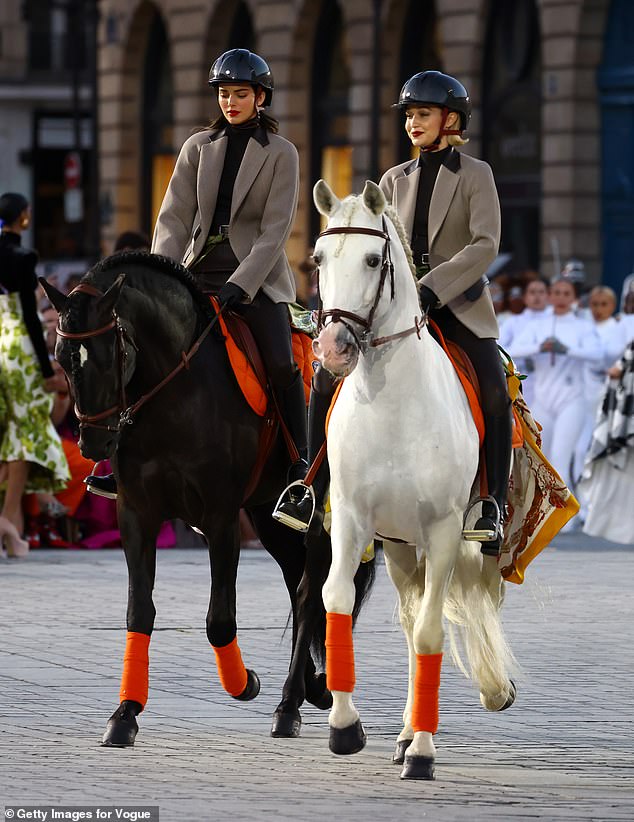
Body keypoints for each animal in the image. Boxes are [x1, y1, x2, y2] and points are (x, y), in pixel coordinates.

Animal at [42, 251, 372, 748]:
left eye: (109, 354)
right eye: (62, 358)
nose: (93, 443)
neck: (175, 394)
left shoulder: (220, 517)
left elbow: (219, 620)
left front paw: (244, 682)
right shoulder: (136, 513)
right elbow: (139, 610)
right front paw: (125, 713)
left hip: (322, 513)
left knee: (314, 587)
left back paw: (297, 698)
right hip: (268, 516)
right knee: (299, 586)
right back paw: (308, 690)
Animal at [312, 182, 512, 784]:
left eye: (373, 260)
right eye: (318, 259)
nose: (332, 348)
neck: (391, 403)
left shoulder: (444, 530)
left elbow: (430, 632)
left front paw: (423, 752)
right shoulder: (351, 518)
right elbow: (336, 599)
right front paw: (345, 726)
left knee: (423, 621)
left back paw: (412, 738)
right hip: (399, 544)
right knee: (406, 616)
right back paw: (400, 733)